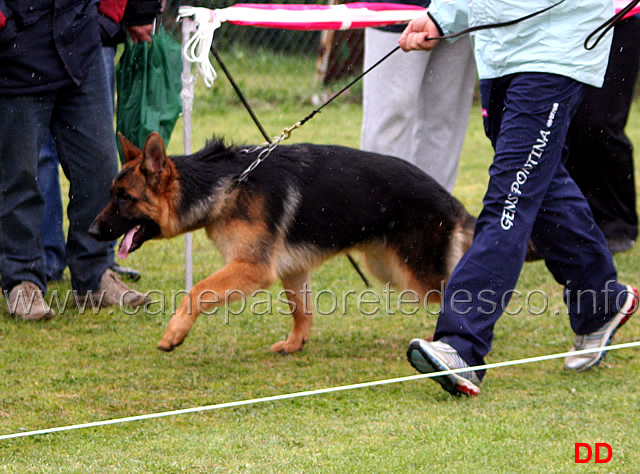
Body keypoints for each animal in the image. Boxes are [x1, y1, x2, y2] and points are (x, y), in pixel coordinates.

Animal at [89, 132, 476, 352]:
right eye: (111, 194)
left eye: (124, 199)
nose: (92, 231)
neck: (226, 183)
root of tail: (451, 201)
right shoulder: (292, 268)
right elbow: (302, 310)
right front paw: (295, 344)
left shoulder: (254, 268)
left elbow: (197, 290)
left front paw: (175, 333)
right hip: (388, 269)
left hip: (413, 276)